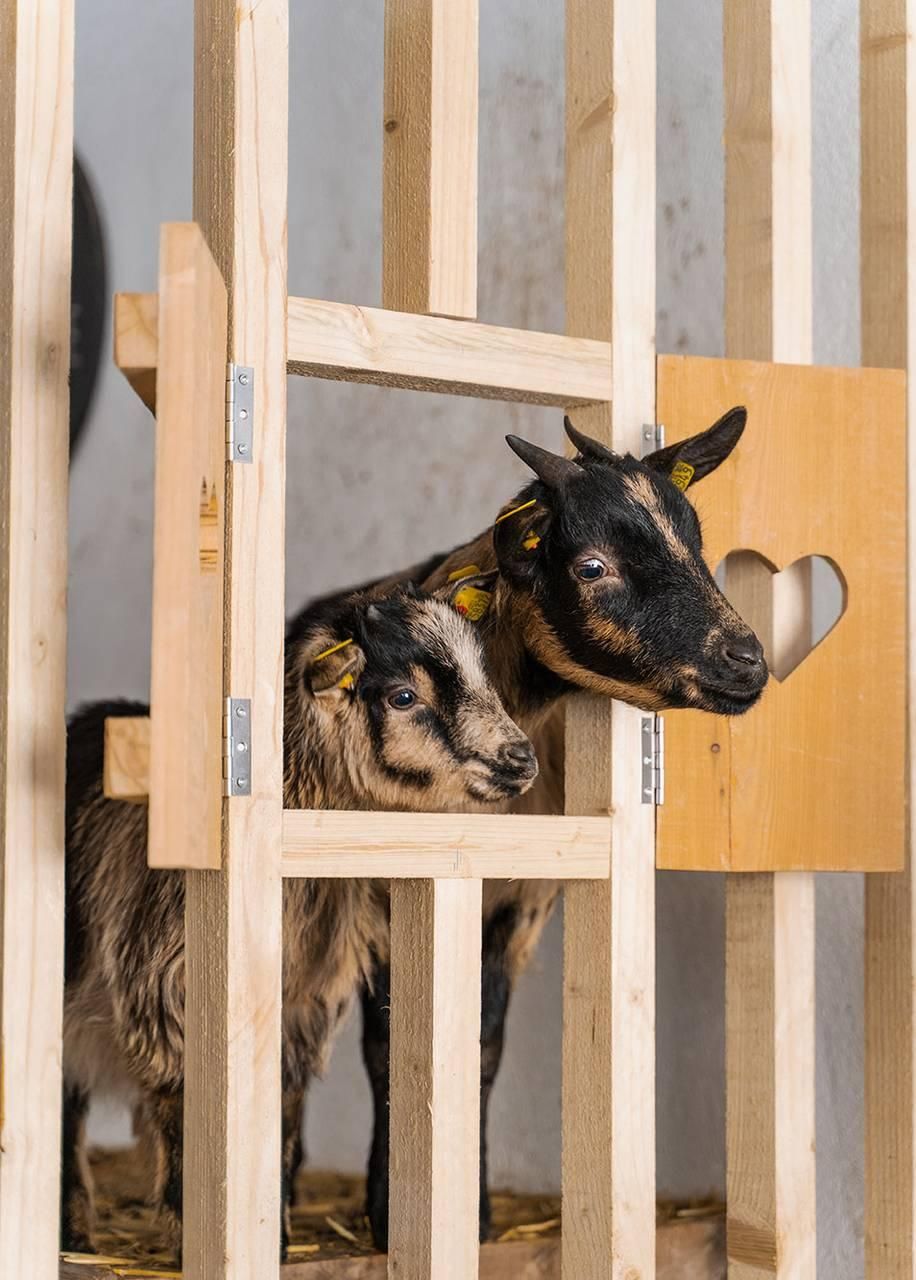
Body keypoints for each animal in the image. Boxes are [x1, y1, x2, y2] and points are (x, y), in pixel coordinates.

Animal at [60, 578, 538, 1260]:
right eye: (402, 695)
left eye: (481, 674)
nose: (519, 758)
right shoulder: (166, 990)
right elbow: (187, 1103)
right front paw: (191, 1230)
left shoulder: (298, 1004)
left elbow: (280, 1112)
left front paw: (277, 1239)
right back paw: (73, 1225)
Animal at [292, 406, 768, 1247]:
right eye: (592, 567)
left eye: (696, 542)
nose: (747, 661)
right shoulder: (381, 887)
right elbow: (388, 1044)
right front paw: (388, 1214)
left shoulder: (514, 900)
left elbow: (482, 1045)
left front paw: (473, 1212)